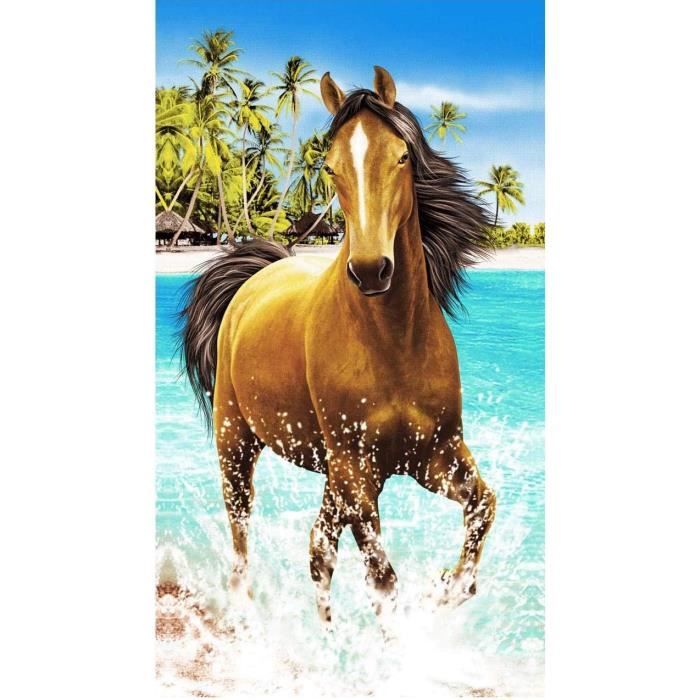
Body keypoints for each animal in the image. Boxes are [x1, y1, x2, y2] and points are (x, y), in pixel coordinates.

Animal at [180, 67, 496, 625]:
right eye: (329, 167)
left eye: (402, 156)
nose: (371, 270)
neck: (393, 344)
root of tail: (257, 275)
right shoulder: (358, 472)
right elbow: (382, 580)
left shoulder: (434, 455)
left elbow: (483, 506)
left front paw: (452, 587)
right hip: (237, 442)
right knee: (241, 535)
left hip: (333, 472)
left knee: (318, 549)